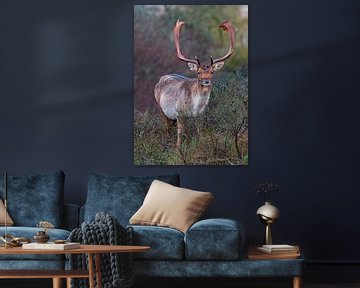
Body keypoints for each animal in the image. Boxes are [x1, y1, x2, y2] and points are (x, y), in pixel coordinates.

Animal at [154, 18, 236, 148]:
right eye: (198, 72)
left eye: (212, 72)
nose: (206, 80)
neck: (195, 106)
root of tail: (161, 78)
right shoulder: (179, 113)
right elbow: (180, 133)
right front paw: (178, 149)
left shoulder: (200, 115)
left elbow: (199, 131)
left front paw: (199, 144)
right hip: (162, 108)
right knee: (167, 126)